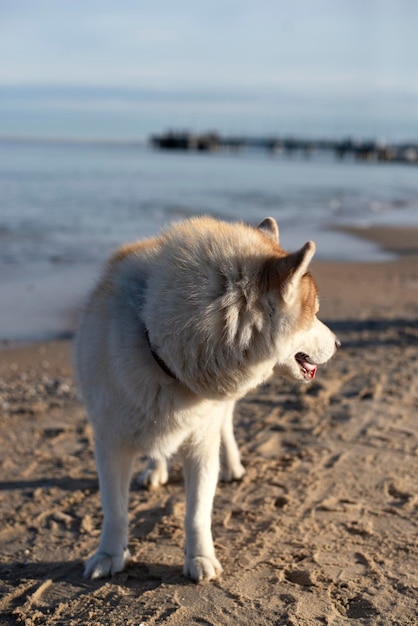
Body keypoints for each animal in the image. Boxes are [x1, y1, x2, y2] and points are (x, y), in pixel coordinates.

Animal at [73, 217, 338, 584]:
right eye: (314, 314)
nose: (339, 343)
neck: (160, 347)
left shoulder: (201, 443)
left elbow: (197, 512)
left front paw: (200, 558)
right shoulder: (110, 442)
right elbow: (114, 510)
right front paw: (109, 555)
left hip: (218, 415)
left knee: (225, 428)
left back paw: (232, 466)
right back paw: (156, 468)